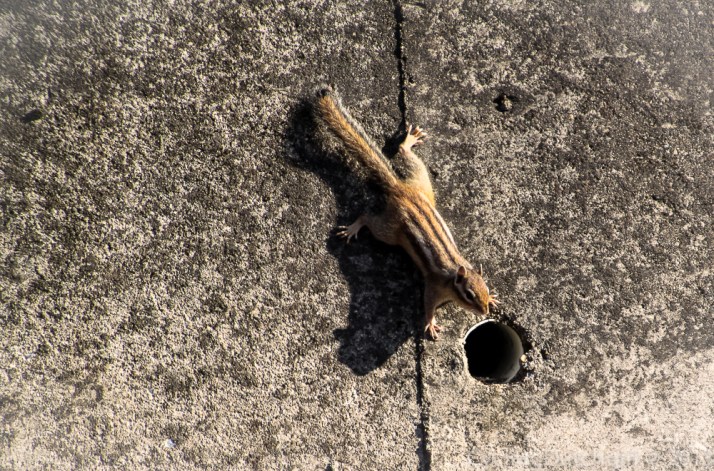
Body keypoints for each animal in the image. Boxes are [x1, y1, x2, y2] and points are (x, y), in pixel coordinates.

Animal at [313, 86, 499, 340]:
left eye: (485, 289)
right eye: (469, 294)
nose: (484, 310)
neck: (453, 276)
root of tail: (400, 188)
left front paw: (494, 298)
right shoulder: (433, 288)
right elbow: (427, 305)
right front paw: (430, 323)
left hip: (421, 180)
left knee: (406, 156)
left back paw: (408, 142)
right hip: (389, 230)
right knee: (368, 218)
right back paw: (353, 228)